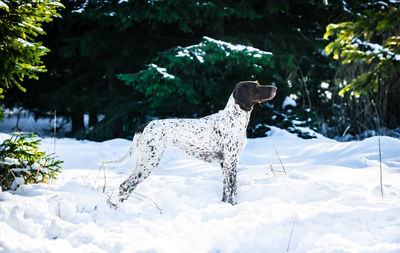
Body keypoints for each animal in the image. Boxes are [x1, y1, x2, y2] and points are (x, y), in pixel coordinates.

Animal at [103, 81, 276, 206]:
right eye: (256, 86)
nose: (275, 87)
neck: (234, 118)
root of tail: (144, 125)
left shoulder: (224, 164)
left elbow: (226, 192)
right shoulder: (231, 162)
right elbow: (233, 192)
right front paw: (234, 207)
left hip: (142, 161)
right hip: (149, 162)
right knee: (125, 185)